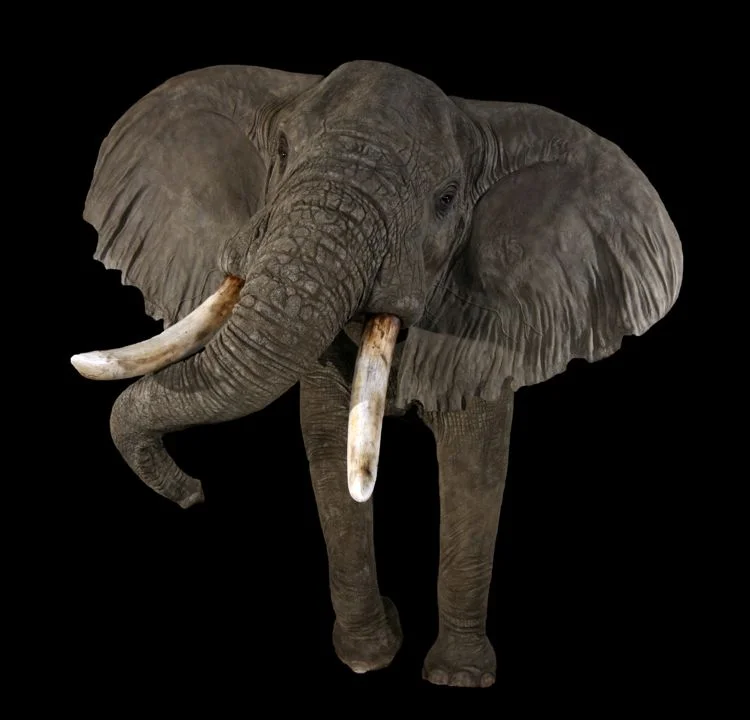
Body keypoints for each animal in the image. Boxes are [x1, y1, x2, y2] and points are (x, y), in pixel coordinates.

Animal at [70, 60, 683, 688]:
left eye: (446, 200)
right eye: (282, 152)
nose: (194, 493)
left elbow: (475, 459)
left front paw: (458, 678)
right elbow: (324, 436)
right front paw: (367, 659)